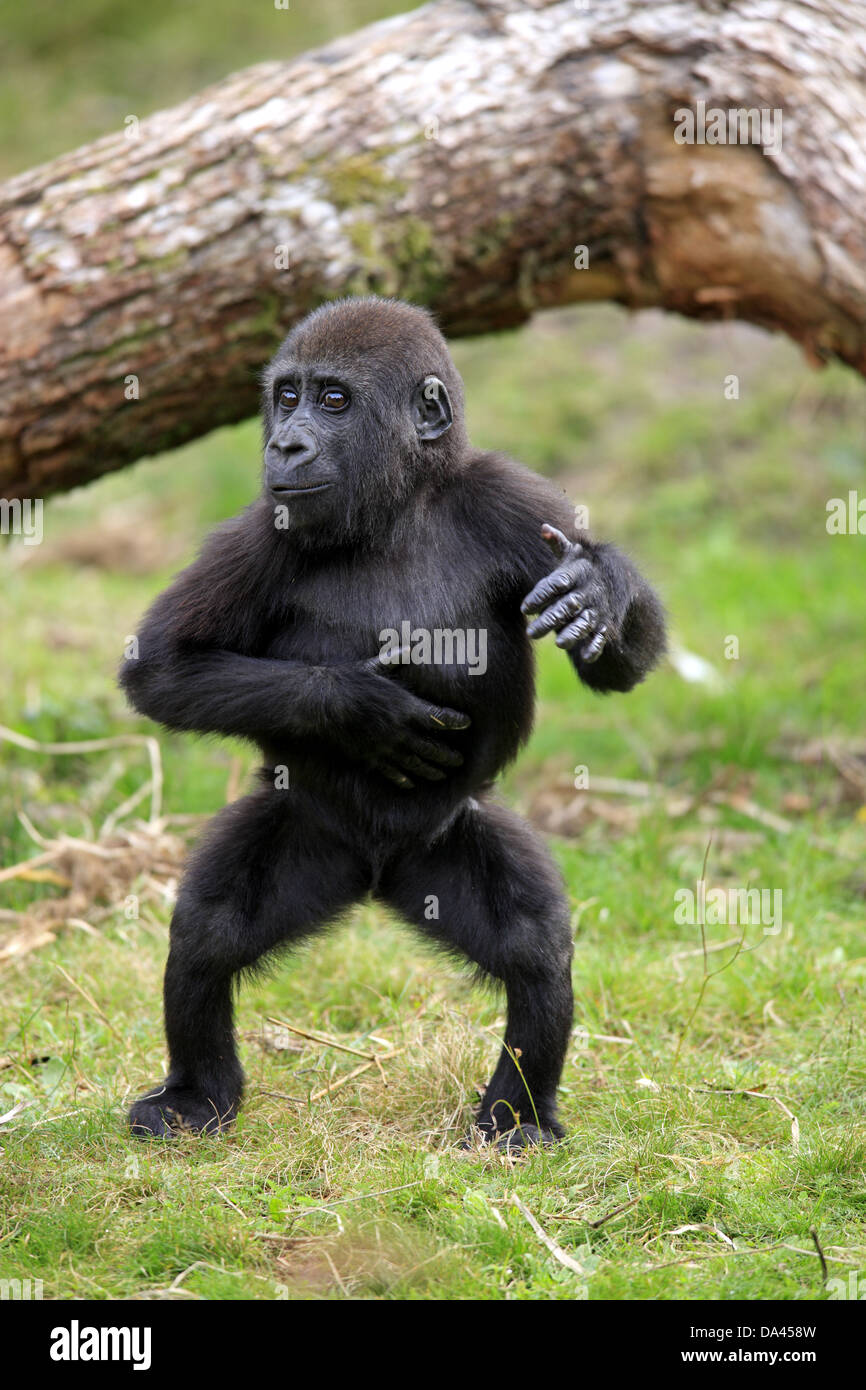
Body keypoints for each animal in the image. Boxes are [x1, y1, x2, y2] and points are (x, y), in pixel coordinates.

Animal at [120, 296, 666, 1149]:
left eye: (333, 400)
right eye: (286, 396)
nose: (287, 442)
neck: (400, 506)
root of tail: (374, 876)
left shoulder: (519, 505)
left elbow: (619, 664)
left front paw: (599, 585)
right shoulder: (263, 529)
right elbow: (163, 669)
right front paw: (360, 710)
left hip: (444, 838)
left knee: (533, 947)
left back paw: (518, 1113)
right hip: (309, 832)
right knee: (209, 929)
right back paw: (197, 1096)